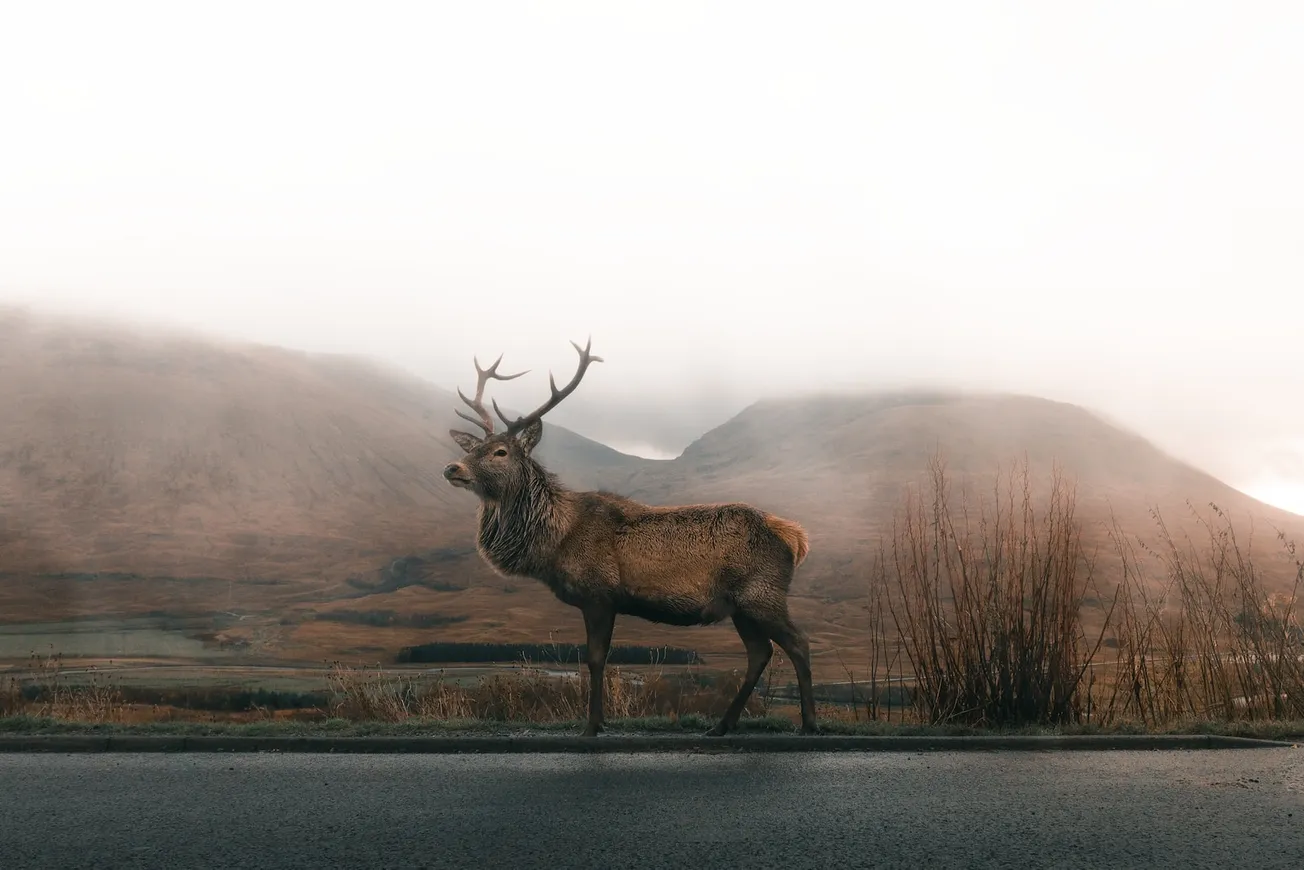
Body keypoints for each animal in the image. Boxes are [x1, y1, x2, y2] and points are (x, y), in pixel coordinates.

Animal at [443, 336, 818, 740]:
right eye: (470, 449)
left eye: (500, 451)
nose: (452, 468)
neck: (554, 542)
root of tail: (795, 538)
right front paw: (599, 721)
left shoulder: (599, 594)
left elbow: (595, 659)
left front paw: (592, 725)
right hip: (740, 606)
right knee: (760, 653)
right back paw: (721, 725)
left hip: (762, 594)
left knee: (798, 642)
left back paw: (809, 723)